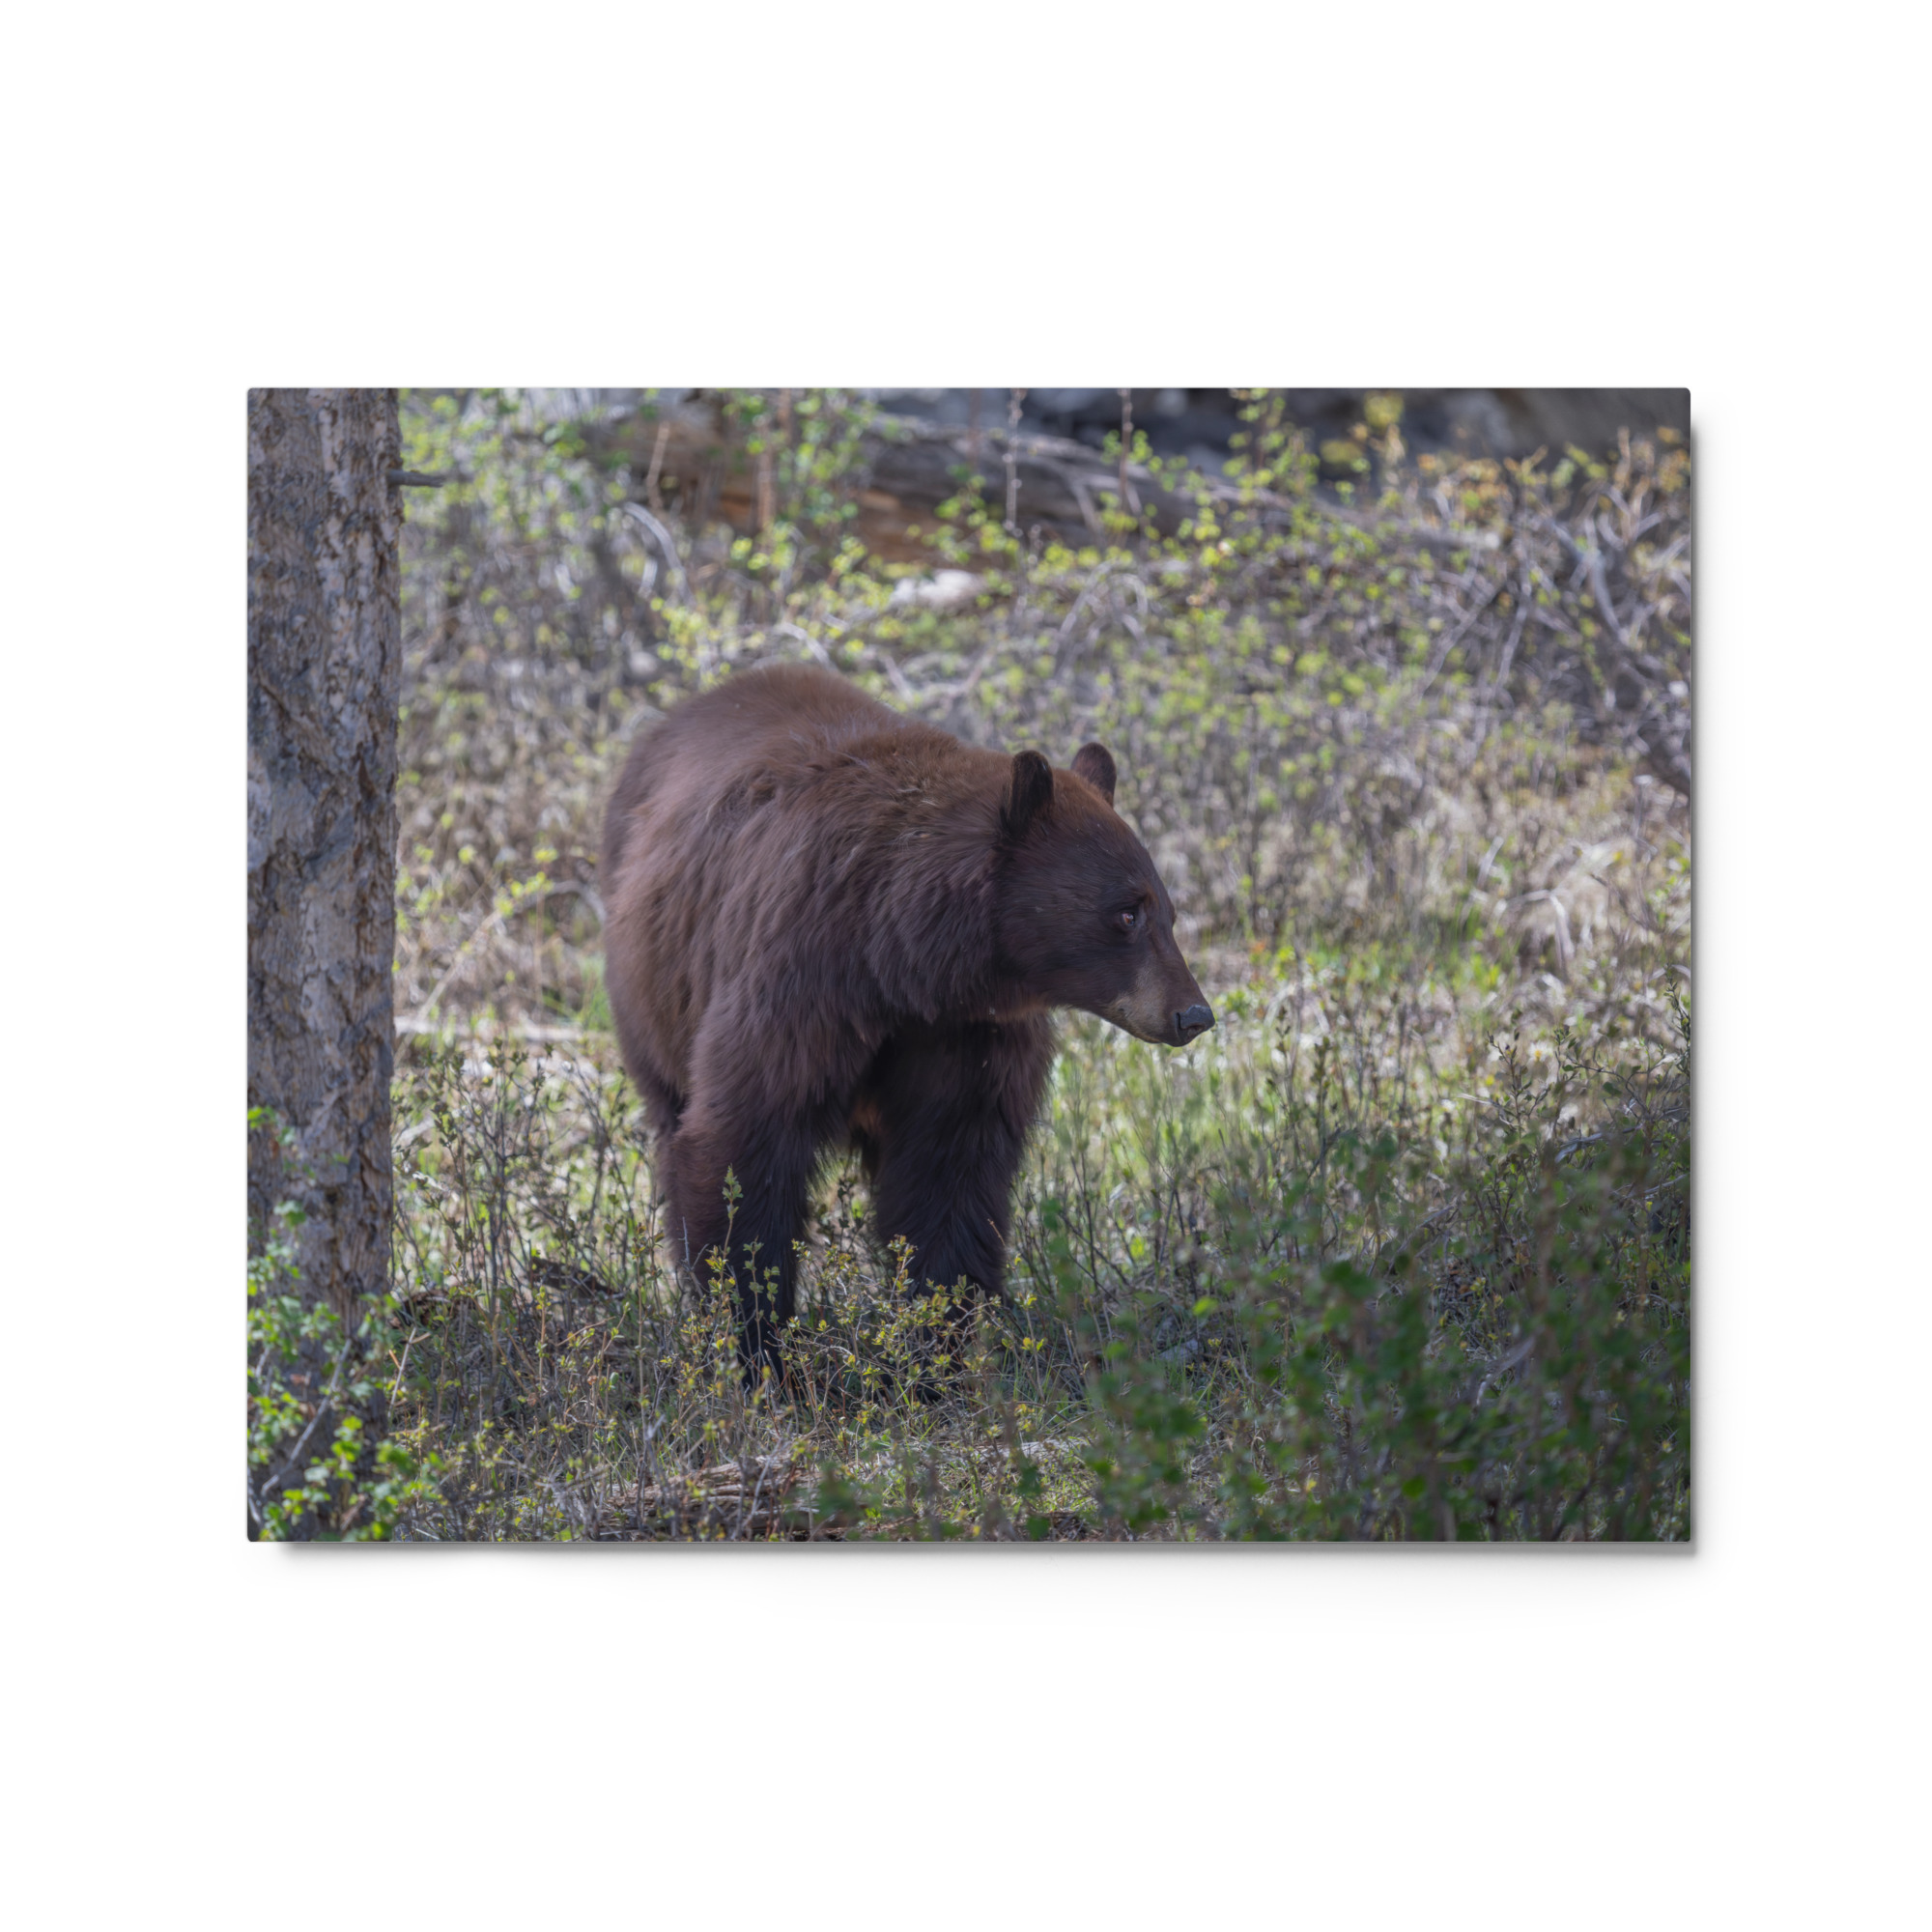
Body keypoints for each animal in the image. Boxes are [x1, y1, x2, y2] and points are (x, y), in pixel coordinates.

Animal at [600, 661, 1212, 1371]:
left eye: (1167, 911)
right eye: (1127, 912)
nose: (1193, 1014)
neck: (902, 962)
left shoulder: (967, 1035)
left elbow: (949, 1176)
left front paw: (934, 1354)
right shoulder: (797, 981)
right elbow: (743, 1145)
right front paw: (757, 1348)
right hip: (652, 994)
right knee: (672, 1120)